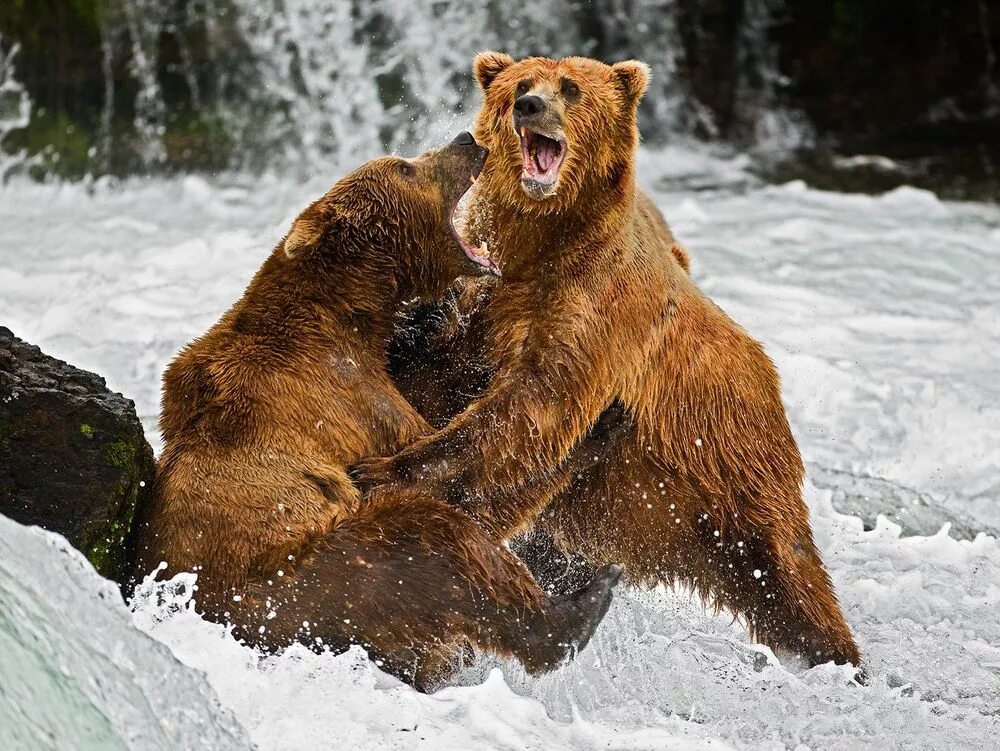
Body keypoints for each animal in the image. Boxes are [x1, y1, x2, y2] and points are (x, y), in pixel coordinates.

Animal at [129, 132, 620, 692]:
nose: (466, 139)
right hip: (317, 588)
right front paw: (597, 424)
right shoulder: (348, 399)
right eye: (405, 166)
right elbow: (448, 480)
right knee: (433, 537)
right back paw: (583, 604)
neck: (351, 311)